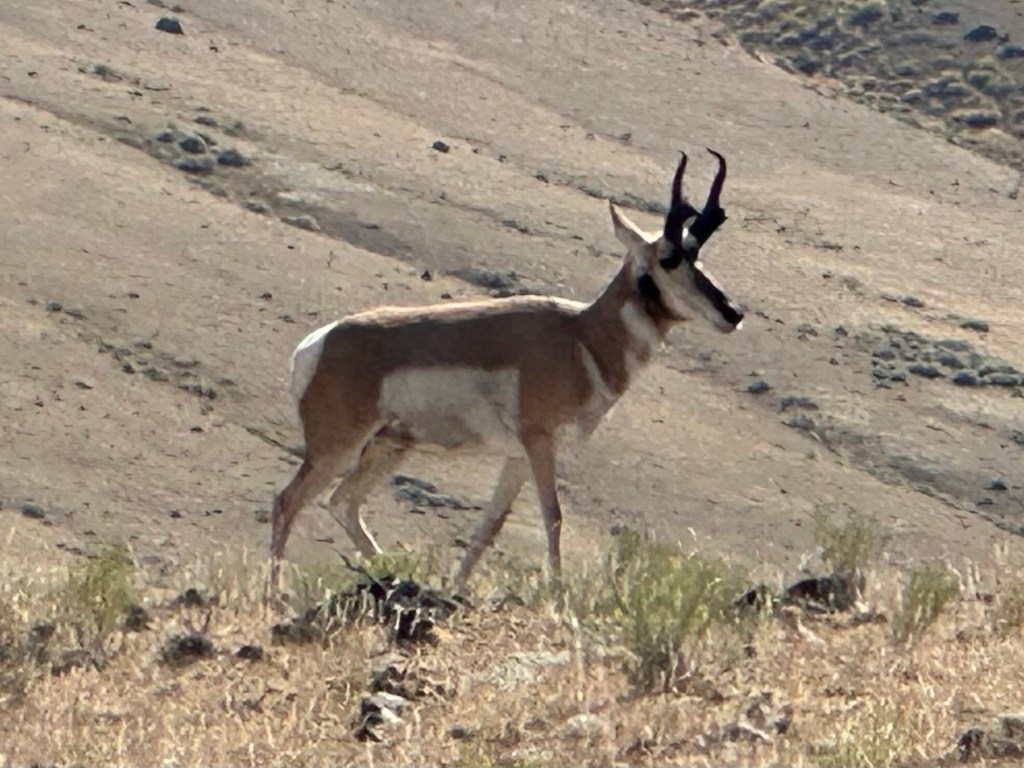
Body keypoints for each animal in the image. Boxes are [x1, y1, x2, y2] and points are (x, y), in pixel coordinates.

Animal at [270, 149, 744, 588]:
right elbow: (553, 515)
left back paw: (394, 570)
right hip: (338, 447)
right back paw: (277, 594)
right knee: (287, 501)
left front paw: (457, 587)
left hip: (389, 447)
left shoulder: (516, 457)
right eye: (668, 258)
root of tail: (319, 342)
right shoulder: (539, 443)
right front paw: (557, 593)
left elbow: (490, 524)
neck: (581, 335)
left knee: (342, 502)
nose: (732, 313)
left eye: (699, 256)